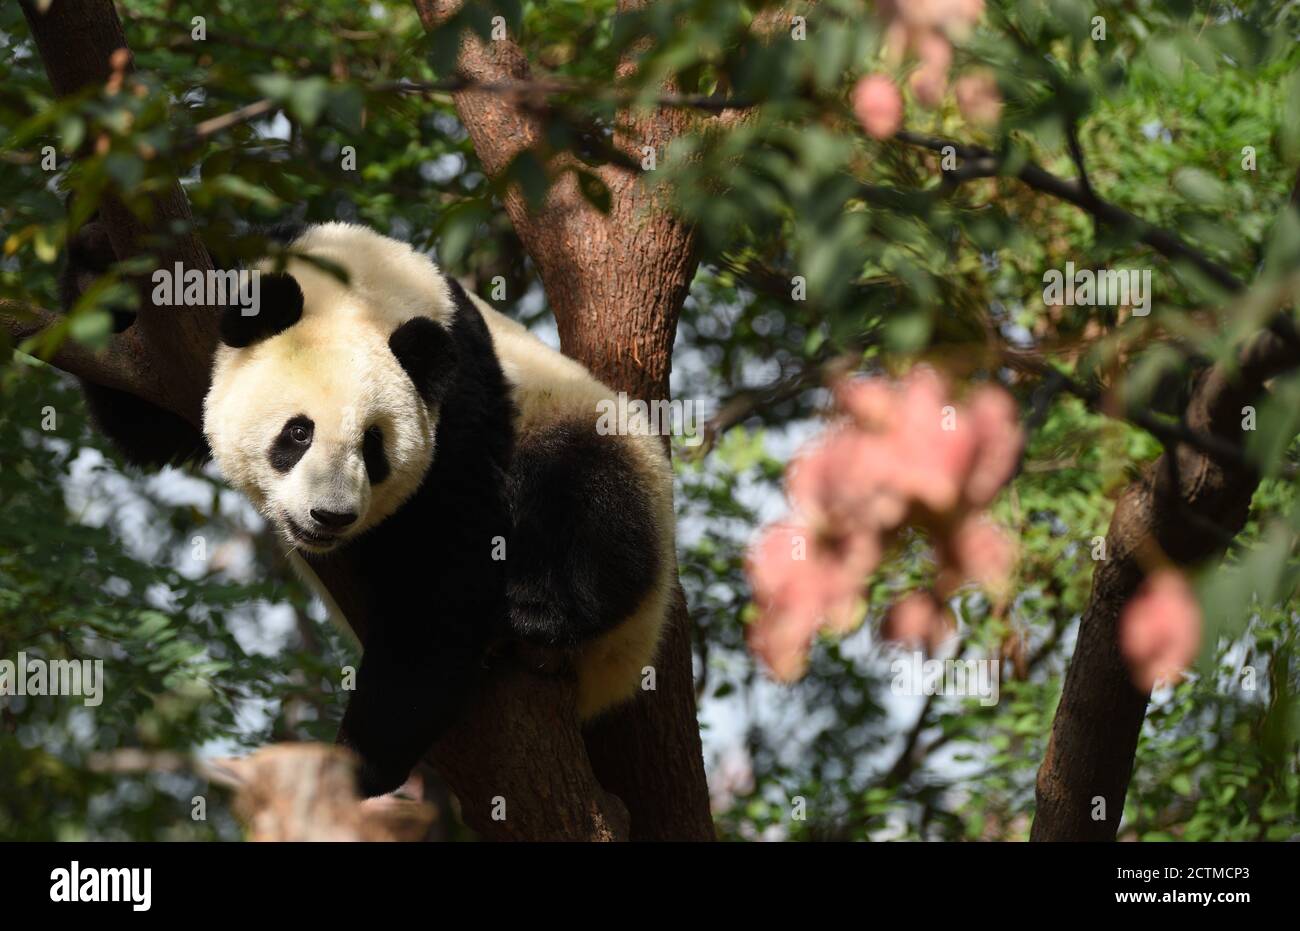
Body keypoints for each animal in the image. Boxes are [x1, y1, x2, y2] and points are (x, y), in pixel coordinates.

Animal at [62, 218, 676, 790]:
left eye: (372, 446)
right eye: (299, 433)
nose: (329, 516)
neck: (358, 290)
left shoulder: (459, 402)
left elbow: (447, 569)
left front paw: (355, 761)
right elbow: (142, 420)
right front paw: (97, 252)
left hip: (593, 435)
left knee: (592, 500)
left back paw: (535, 612)